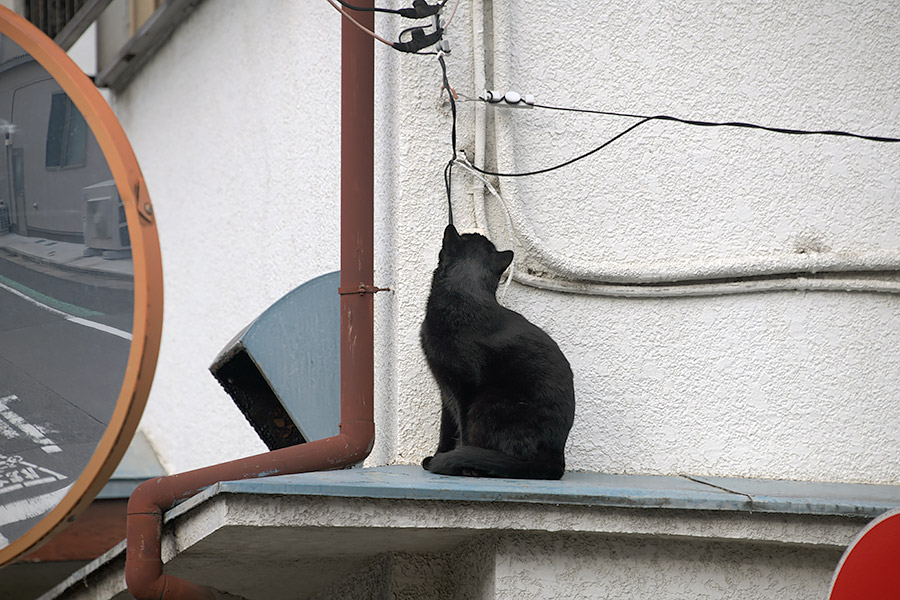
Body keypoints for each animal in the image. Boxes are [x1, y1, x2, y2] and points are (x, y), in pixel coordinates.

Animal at [422, 223, 576, 480]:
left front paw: (456, 463)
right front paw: (438, 455)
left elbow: (462, 429)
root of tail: (556, 461)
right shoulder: (445, 388)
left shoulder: (464, 388)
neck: (463, 295)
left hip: (489, 400)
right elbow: (447, 427)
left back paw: (475, 465)